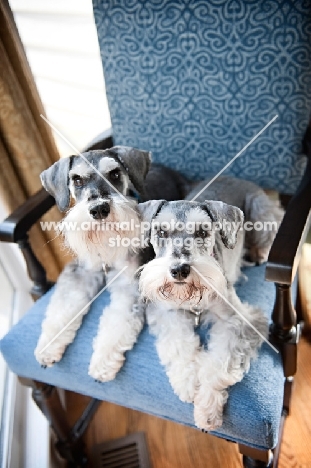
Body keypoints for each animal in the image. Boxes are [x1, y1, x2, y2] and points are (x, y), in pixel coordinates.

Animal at [35, 147, 189, 384]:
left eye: (115, 173)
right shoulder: (80, 273)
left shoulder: (129, 286)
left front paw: (102, 363)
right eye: (77, 180)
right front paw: (48, 347)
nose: (99, 209)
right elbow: (64, 305)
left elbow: (116, 322)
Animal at [138, 198, 270, 432]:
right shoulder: (167, 313)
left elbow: (220, 363)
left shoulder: (239, 321)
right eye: (161, 231)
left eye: (201, 232)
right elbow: (180, 345)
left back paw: (260, 252)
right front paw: (187, 382)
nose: (179, 270)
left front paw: (207, 409)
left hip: (261, 210)